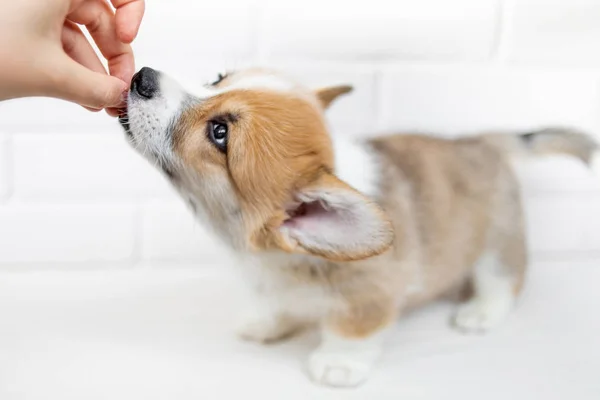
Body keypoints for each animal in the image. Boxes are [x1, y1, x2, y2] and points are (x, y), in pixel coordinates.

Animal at [118, 66, 600, 388]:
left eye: (219, 133)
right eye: (218, 77)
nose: (143, 75)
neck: (276, 255)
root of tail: (484, 141)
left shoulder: (369, 299)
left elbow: (351, 331)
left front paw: (338, 364)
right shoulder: (268, 282)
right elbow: (275, 305)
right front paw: (266, 324)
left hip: (498, 240)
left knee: (502, 279)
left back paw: (480, 310)